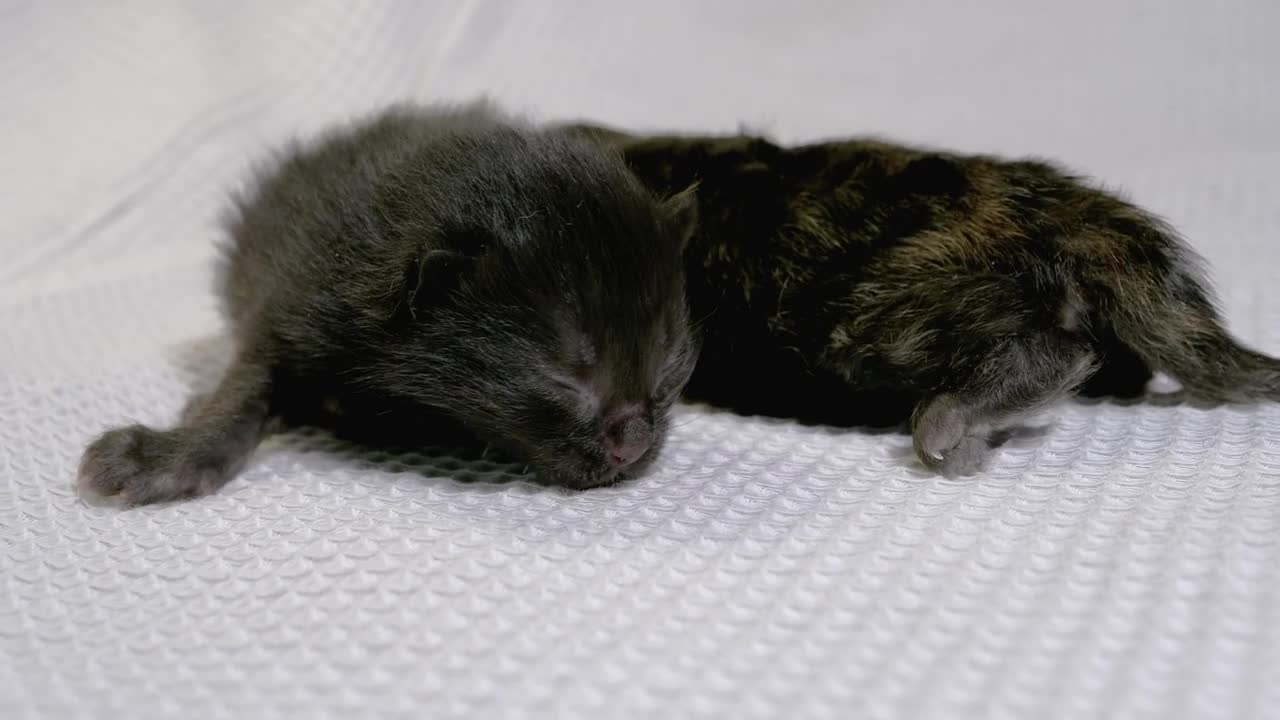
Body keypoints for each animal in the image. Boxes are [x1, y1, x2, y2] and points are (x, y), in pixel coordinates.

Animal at [77, 102, 701, 504]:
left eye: (669, 361)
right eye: (564, 376)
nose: (636, 446)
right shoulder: (292, 303)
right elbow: (243, 389)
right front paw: (163, 458)